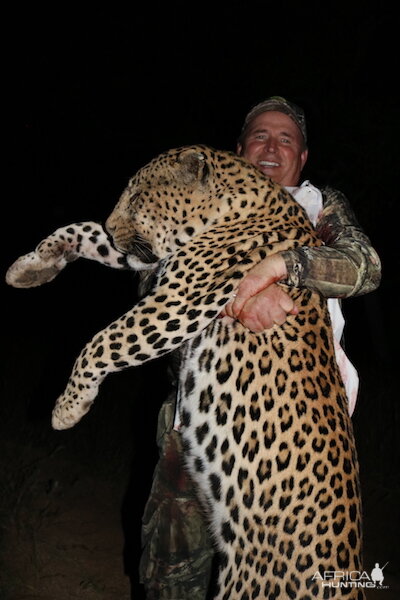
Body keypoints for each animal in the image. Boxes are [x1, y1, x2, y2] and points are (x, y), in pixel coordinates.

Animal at [6, 146, 364, 600]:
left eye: (139, 196)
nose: (114, 225)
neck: (238, 203)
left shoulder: (178, 301)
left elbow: (103, 342)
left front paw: (68, 409)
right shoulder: (154, 263)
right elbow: (83, 229)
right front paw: (30, 267)